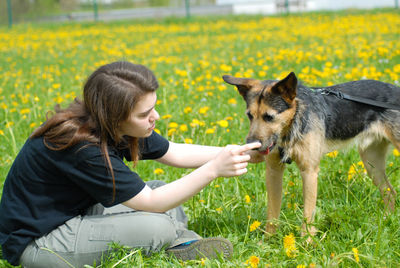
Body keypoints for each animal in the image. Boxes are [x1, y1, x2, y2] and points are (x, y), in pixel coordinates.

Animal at [222, 71, 400, 237]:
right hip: (372, 164)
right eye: (249, 115)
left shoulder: (309, 172)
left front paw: (306, 242)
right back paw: (386, 220)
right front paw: (267, 241)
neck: (291, 126)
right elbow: (272, 213)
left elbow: (308, 215)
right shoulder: (273, 172)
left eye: (269, 117)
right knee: (389, 192)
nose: (251, 145)